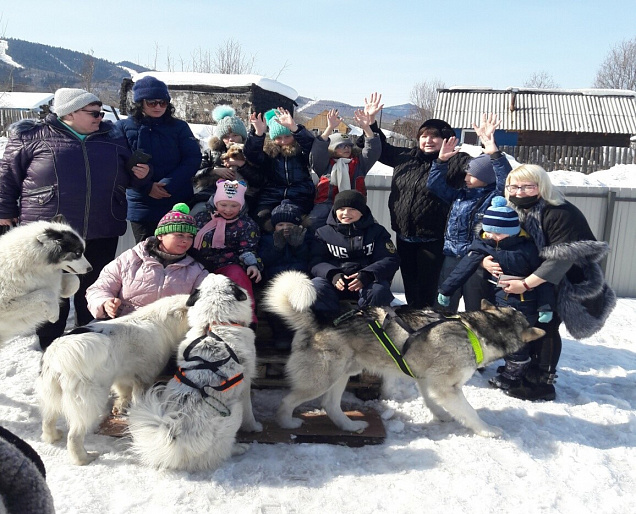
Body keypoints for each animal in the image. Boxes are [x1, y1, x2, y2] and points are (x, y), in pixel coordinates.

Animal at [128, 274, 262, 470]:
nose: (212, 273)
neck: (214, 323)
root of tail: (176, 435)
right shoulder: (245, 385)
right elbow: (250, 411)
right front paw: (254, 427)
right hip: (234, 411)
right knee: (224, 450)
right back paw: (240, 448)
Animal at [264, 268, 548, 436]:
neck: (475, 331)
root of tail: (317, 322)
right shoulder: (447, 387)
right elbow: (470, 412)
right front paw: (487, 430)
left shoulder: (426, 381)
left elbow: (433, 403)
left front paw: (443, 416)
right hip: (321, 379)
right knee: (287, 402)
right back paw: (287, 422)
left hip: (342, 374)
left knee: (330, 406)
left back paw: (350, 426)